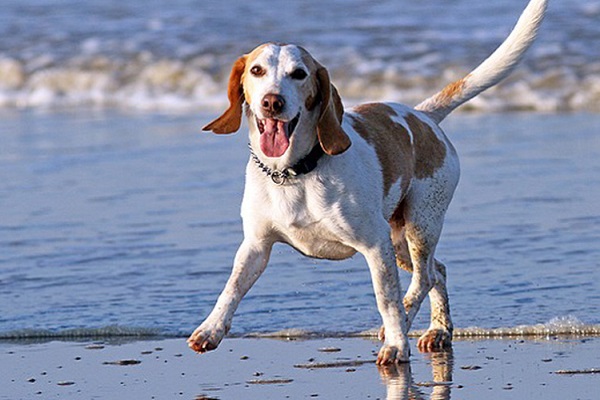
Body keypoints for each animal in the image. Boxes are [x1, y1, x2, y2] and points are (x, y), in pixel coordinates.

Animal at [190, 0, 548, 364]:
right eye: (257, 70)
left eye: (299, 74)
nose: (272, 102)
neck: (295, 173)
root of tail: (423, 116)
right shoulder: (255, 246)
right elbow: (231, 288)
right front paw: (210, 329)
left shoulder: (375, 245)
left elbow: (386, 300)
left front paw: (396, 345)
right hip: (400, 241)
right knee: (439, 271)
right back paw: (438, 330)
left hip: (420, 226)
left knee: (424, 278)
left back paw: (405, 325)